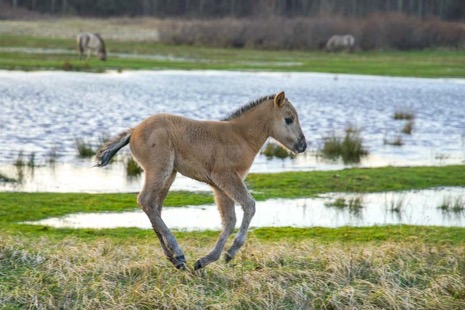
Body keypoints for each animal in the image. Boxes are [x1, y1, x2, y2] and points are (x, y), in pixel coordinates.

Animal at [95, 91, 306, 270]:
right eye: (289, 119)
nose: (303, 145)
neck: (241, 136)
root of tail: (134, 130)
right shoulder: (226, 177)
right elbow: (249, 205)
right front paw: (230, 253)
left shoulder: (220, 187)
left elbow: (229, 220)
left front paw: (206, 260)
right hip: (159, 170)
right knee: (145, 201)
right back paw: (178, 253)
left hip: (168, 175)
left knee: (154, 207)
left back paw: (174, 259)